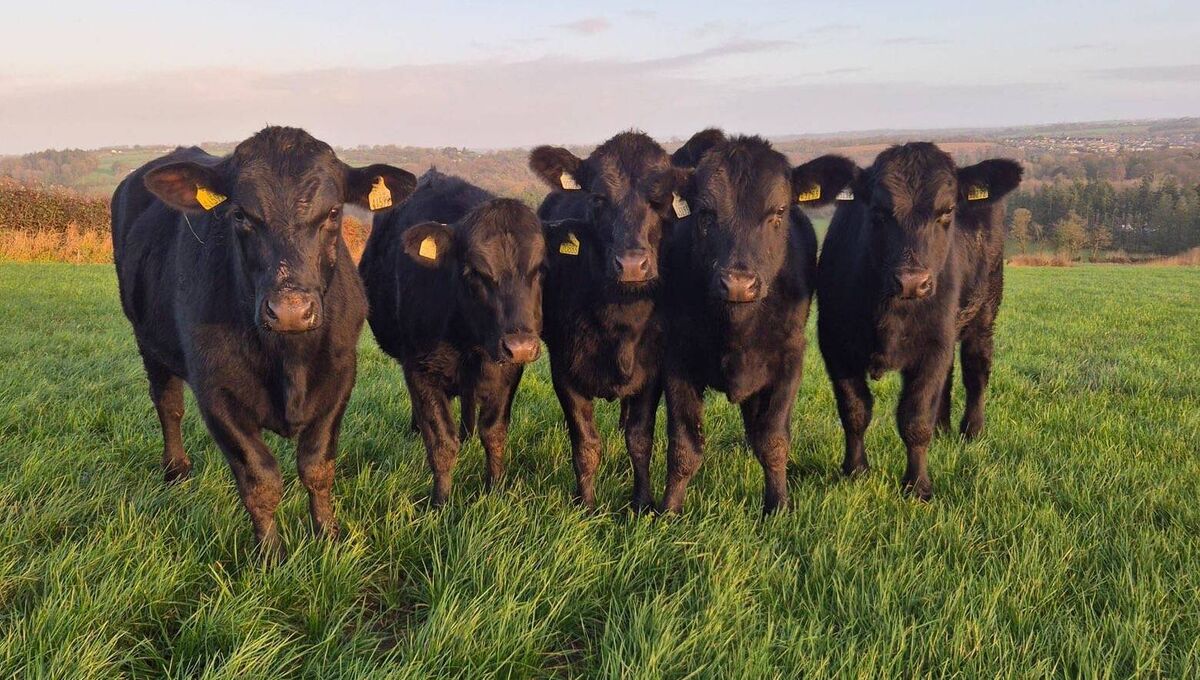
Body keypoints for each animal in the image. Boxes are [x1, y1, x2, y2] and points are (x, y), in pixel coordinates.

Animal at [111, 126, 416, 554]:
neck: (289, 361)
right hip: (147, 340)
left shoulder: (341, 376)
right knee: (168, 405)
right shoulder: (216, 391)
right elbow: (261, 479)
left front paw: (328, 536)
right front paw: (270, 554)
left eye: (333, 212)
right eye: (240, 214)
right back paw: (176, 470)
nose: (289, 310)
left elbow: (317, 465)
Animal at [358, 169, 546, 507]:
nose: (521, 346)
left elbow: (494, 432)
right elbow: (442, 442)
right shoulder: (419, 369)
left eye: (539, 269)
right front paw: (441, 502)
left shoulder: (509, 370)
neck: (468, 340)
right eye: (473, 271)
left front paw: (495, 489)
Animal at [527, 131, 680, 511]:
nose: (632, 265)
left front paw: (642, 502)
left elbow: (639, 439)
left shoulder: (653, 368)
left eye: (661, 198)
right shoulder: (563, 369)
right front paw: (586, 504)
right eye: (597, 198)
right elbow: (586, 444)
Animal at [654, 133, 856, 514]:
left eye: (778, 211)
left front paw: (778, 505)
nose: (738, 283)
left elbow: (773, 438)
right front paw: (669, 508)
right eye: (705, 212)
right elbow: (684, 444)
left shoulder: (791, 358)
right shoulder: (676, 358)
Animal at [816, 142, 1022, 500]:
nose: (913, 281)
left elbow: (915, 418)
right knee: (949, 378)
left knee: (976, 372)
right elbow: (854, 411)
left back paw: (972, 431)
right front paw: (855, 470)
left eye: (947, 211)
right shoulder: (834, 345)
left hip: (984, 314)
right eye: (878, 212)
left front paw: (917, 485)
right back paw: (943, 429)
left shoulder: (932, 346)